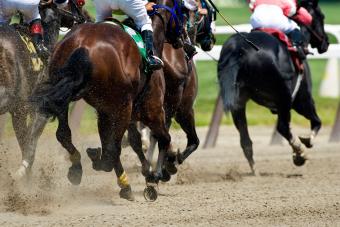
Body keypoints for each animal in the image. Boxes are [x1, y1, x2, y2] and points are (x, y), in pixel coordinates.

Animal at [31, 0, 186, 201]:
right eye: (183, 10)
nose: (185, 40)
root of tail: (83, 45)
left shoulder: (104, 110)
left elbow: (116, 144)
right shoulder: (151, 110)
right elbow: (162, 139)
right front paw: (154, 178)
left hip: (65, 95)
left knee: (64, 134)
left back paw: (77, 168)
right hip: (123, 107)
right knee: (112, 149)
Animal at [218, 0, 330, 174]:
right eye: (322, 16)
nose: (326, 42)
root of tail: (239, 49)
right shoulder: (302, 99)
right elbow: (316, 122)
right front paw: (305, 142)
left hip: (238, 102)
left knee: (245, 140)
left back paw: (254, 170)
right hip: (284, 97)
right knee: (283, 127)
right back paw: (300, 153)